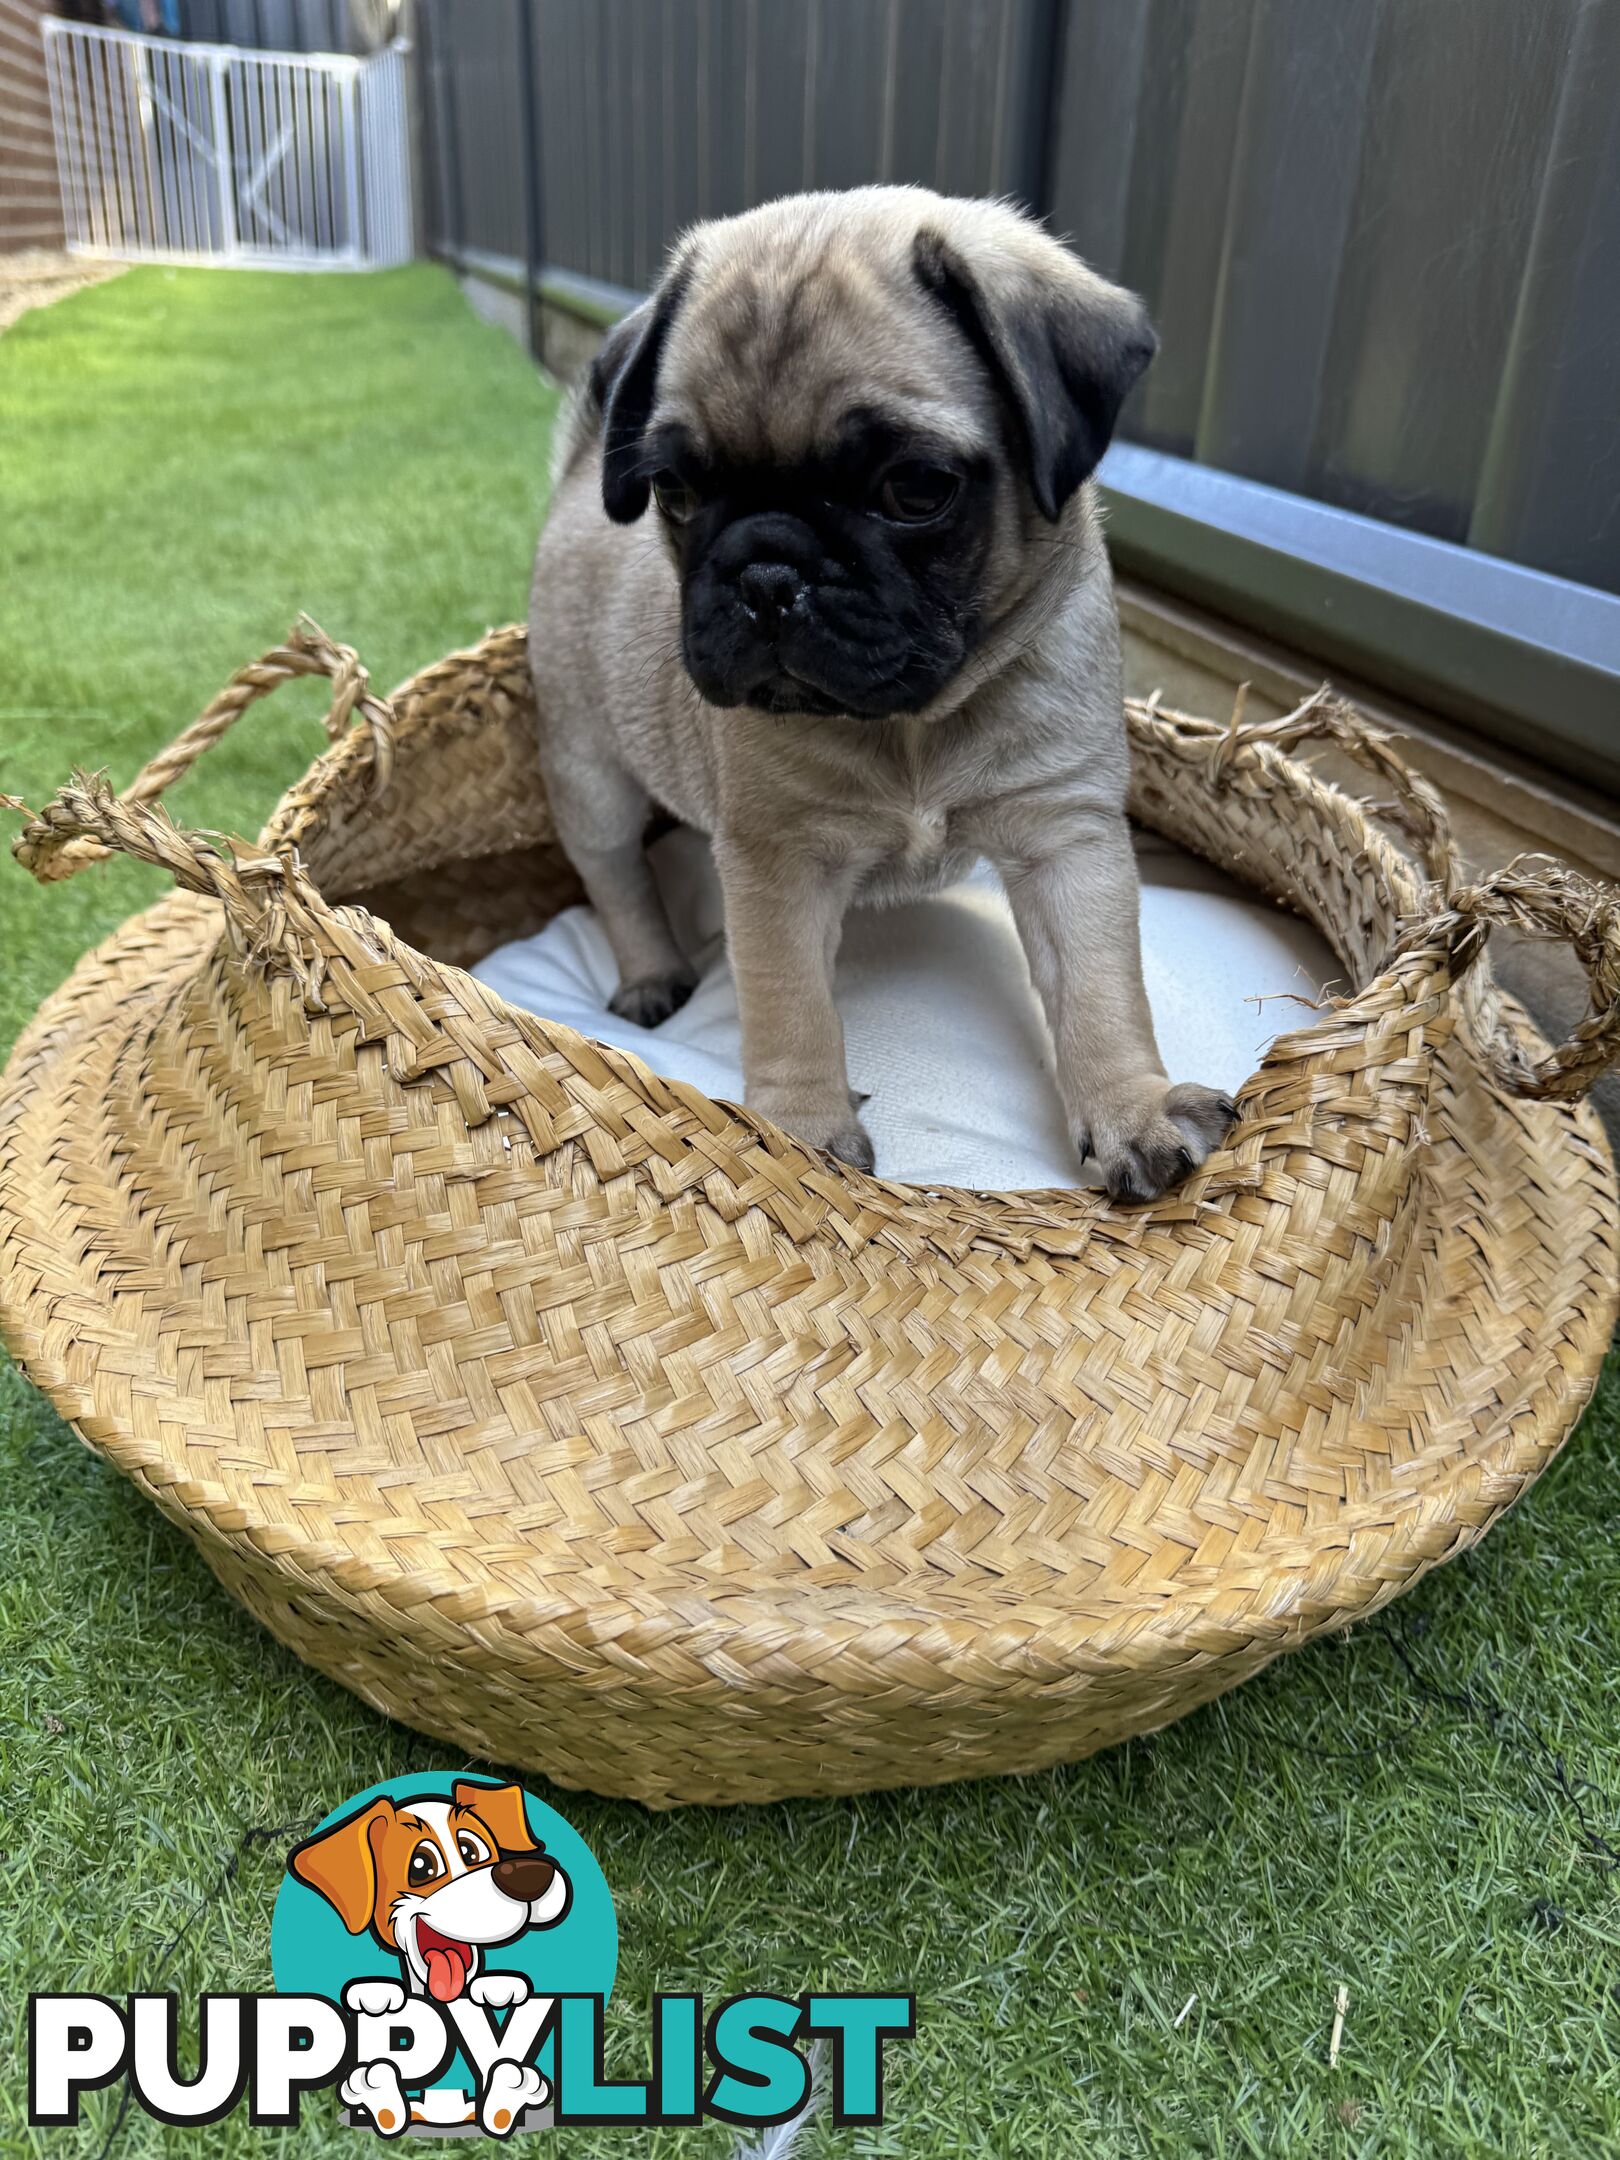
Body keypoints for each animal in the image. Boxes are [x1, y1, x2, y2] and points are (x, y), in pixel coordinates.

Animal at [527, 185, 1235, 1200]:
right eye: (675, 491)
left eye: (915, 490)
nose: (767, 573)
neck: (913, 723)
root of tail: (585, 473)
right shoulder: (778, 861)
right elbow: (791, 1006)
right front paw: (800, 1131)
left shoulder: (1066, 838)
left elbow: (1099, 989)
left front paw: (1130, 1108)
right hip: (591, 775)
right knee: (616, 876)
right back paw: (652, 972)